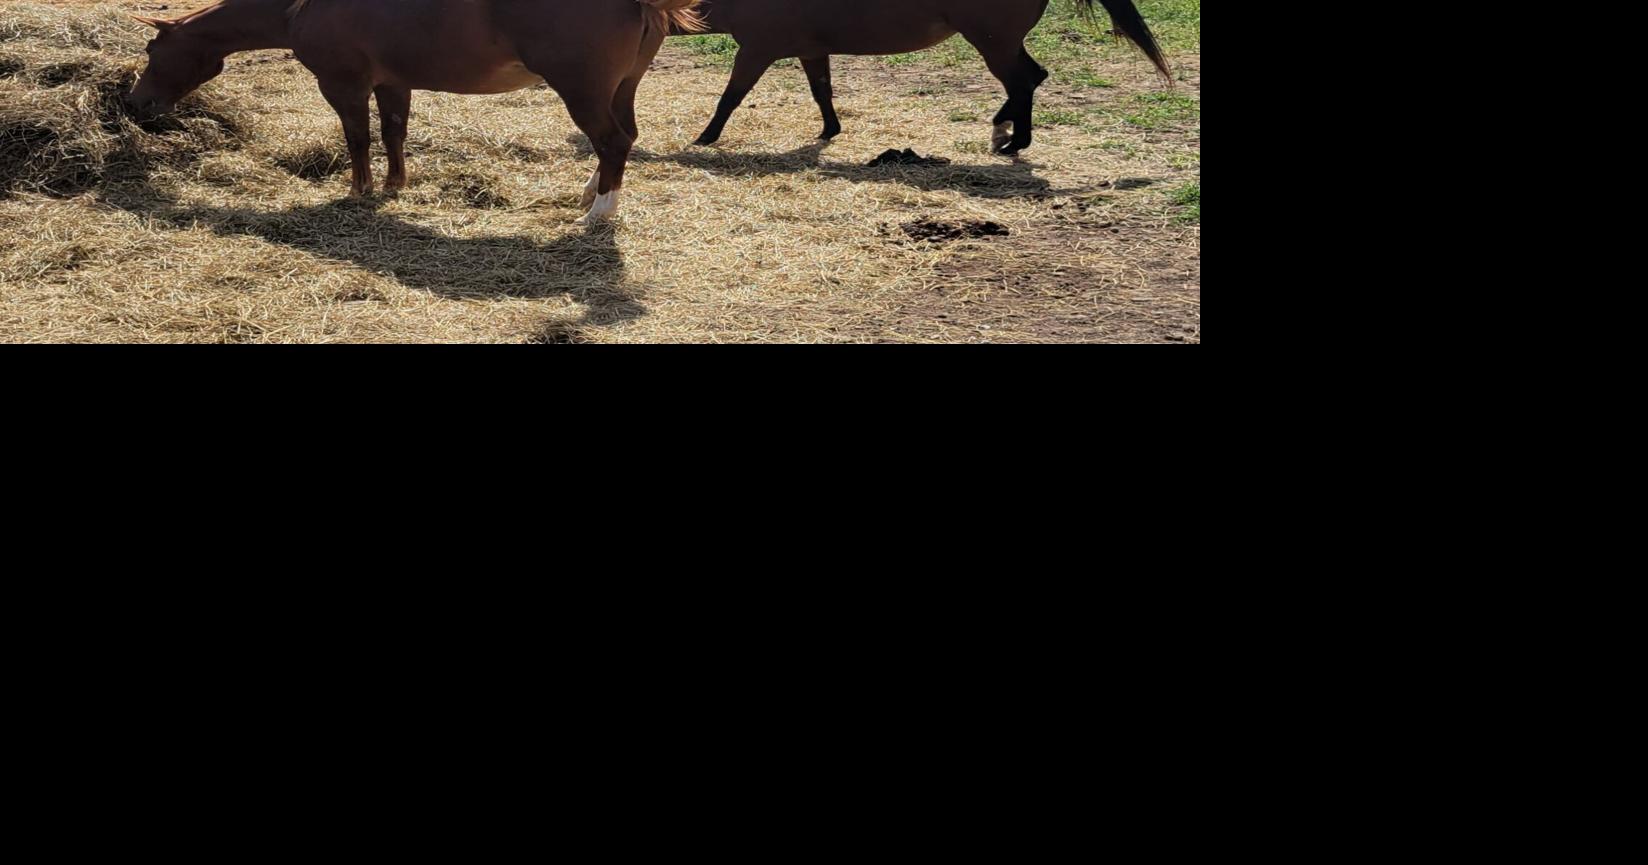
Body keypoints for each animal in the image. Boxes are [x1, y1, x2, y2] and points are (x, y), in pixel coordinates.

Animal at [125, 0, 706, 223]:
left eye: (152, 50)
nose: (136, 106)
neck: (302, 8)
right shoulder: (392, 83)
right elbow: (394, 133)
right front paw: (394, 186)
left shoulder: (343, 85)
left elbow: (358, 138)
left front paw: (358, 191)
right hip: (621, 88)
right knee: (622, 138)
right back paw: (591, 193)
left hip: (583, 92)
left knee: (612, 141)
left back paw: (598, 212)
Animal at [682, 0, 1171, 155]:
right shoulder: (811, 50)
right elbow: (822, 94)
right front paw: (829, 131)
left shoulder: (756, 51)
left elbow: (730, 97)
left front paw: (705, 138)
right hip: (1002, 44)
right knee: (1032, 78)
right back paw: (1003, 130)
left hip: (993, 44)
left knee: (1021, 82)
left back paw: (1014, 141)